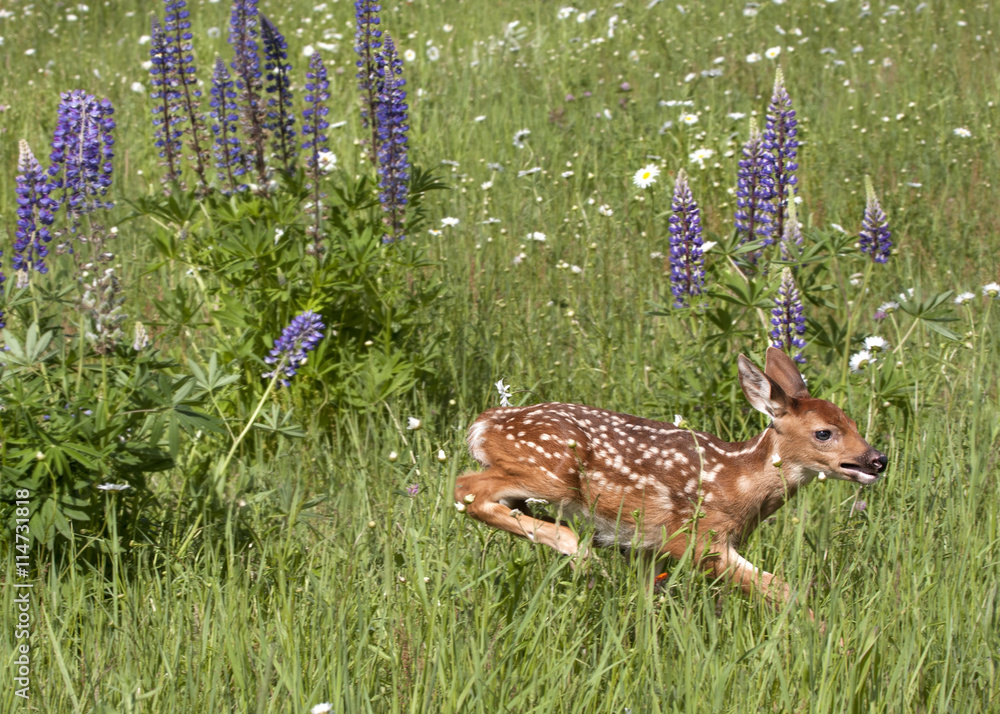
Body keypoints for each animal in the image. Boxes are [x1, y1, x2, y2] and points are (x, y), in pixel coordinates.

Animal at [454, 347, 887, 608]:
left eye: (852, 421)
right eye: (824, 433)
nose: (877, 460)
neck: (739, 480)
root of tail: (484, 423)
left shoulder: (651, 553)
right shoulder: (697, 539)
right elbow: (783, 590)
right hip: (551, 472)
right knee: (465, 488)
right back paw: (579, 550)